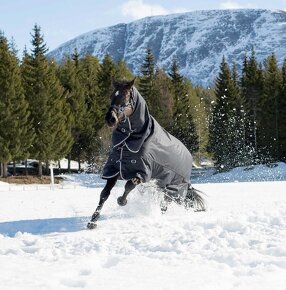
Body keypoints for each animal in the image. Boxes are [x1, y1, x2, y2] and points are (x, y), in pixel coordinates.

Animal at [87, 78, 206, 230]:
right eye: (112, 96)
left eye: (126, 97)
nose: (110, 118)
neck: (129, 141)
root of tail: (189, 156)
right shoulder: (114, 170)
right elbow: (104, 194)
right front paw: (93, 221)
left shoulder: (142, 172)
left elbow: (128, 186)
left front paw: (122, 201)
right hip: (163, 186)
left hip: (174, 188)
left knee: (165, 204)